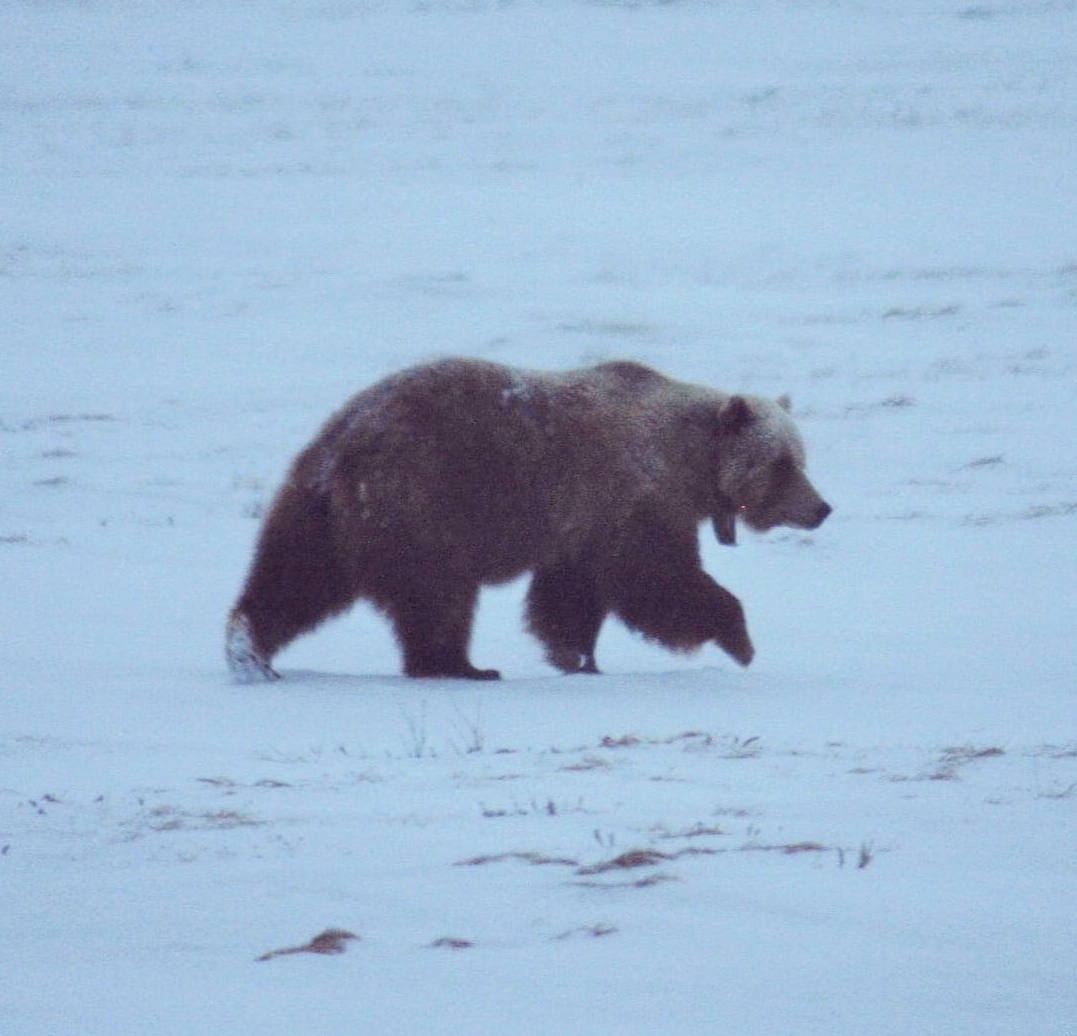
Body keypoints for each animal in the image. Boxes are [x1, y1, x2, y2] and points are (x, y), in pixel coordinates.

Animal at [225, 358, 830, 681]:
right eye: (782, 464)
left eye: (801, 458)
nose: (821, 508)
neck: (689, 461)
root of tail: (344, 441)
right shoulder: (634, 495)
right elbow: (656, 580)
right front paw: (741, 639)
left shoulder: (583, 524)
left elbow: (570, 596)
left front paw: (574, 655)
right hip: (424, 499)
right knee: (437, 594)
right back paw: (461, 666)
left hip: (320, 509)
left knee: (295, 576)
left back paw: (249, 649)